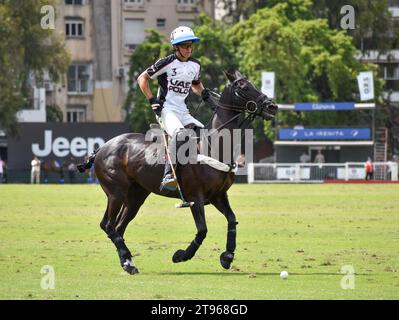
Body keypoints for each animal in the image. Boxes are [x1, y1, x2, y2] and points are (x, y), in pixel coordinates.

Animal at [78, 71, 278, 274]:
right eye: (243, 87)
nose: (272, 106)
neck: (213, 146)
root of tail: (101, 148)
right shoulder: (195, 197)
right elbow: (203, 230)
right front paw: (181, 255)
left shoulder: (218, 195)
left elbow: (232, 220)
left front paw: (227, 256)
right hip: (116, 192)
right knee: (108, 225)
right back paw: (127, 260)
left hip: (136, 195)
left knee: (118, 226)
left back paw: (128, 261)